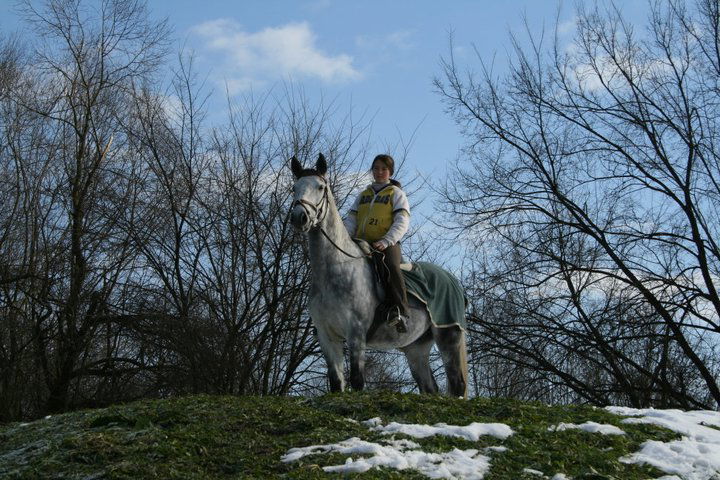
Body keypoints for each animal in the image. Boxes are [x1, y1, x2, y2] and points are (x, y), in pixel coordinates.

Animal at [290, 154, 470, 398]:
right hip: (416, 348)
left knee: (457, 384)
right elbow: (336, 383)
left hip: (448, 337)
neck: (335, 270)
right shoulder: (328, 338)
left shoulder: (356, 334)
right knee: (429, 387)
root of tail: (453, 282)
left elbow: (357, 381)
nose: (299, 217)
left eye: (320, 187)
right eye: (294, 187)